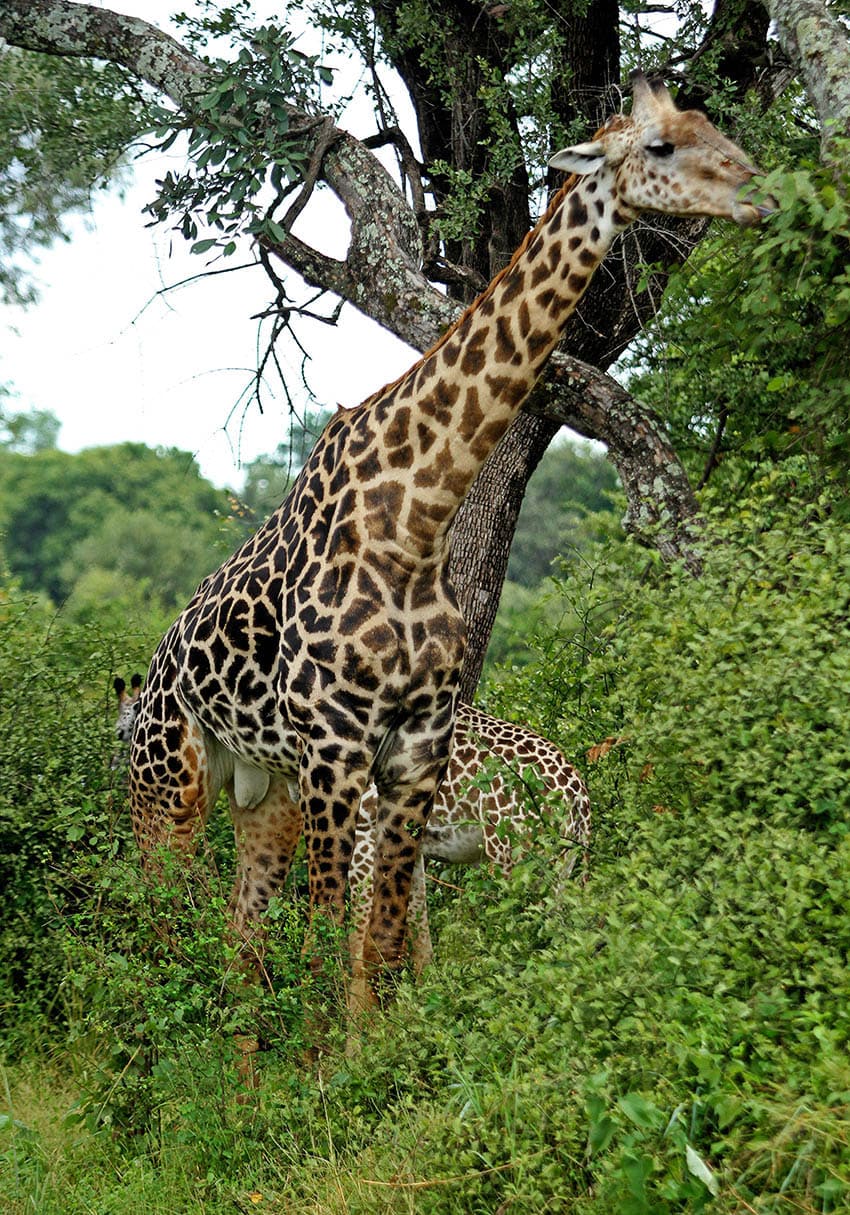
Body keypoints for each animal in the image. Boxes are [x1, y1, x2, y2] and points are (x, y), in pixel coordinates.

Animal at [129, 71, 772, 1010]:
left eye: (713, 124)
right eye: (661, 146)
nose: (759, 191)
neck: (417, 519)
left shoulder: (408, 756)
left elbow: (387, 948)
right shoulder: (339, 759)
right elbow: (342, 950)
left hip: (268, 792)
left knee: (240, 941)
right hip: (170, 783)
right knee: (157, 924)